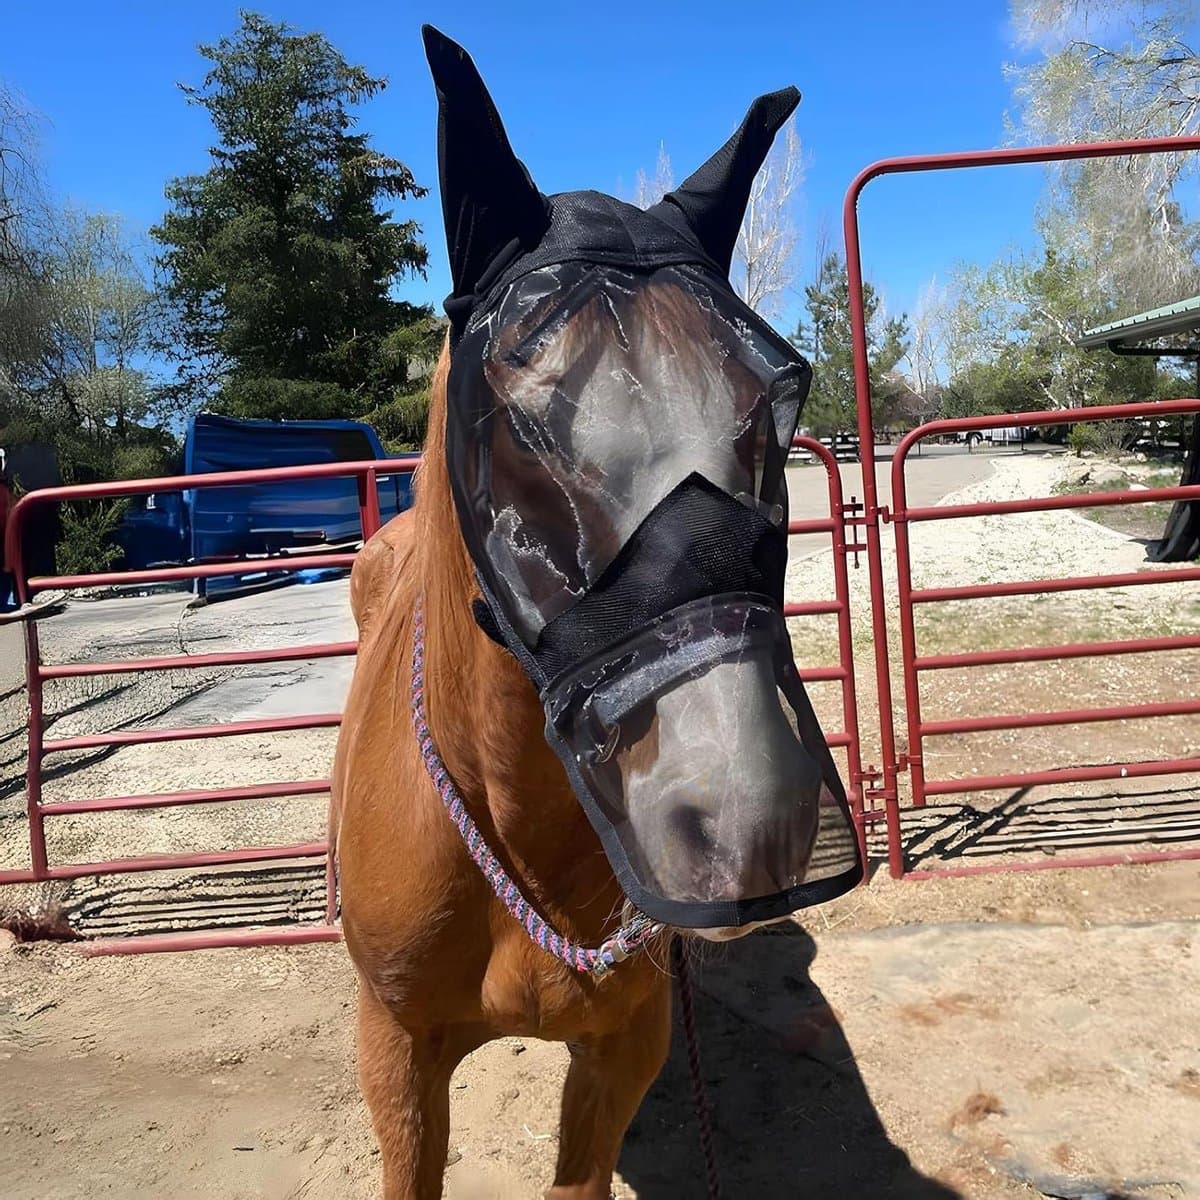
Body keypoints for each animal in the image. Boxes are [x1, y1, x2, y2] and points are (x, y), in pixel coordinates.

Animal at [330, 26, 860, 1199]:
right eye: (517, 422)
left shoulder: (623, 1048)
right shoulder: (394, 1055)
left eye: (776, 404)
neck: (518, 838)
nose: (748, 818)